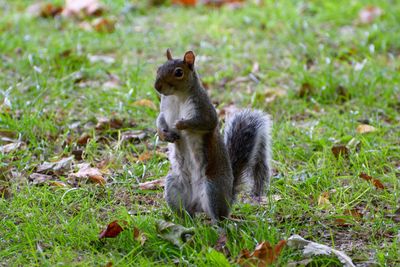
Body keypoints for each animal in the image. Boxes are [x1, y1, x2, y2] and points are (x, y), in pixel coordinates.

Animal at [153, 49, 272, 223]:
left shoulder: (204, 109)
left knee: (219, 216)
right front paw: (164, 134)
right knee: (186, 211)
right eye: (159, 68)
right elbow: (160, 120)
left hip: (212, 188)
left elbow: (205, 122)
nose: (157, 87)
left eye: (179, 73)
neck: (177, 96)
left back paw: (216, 224)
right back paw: (183, 220)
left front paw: (181, 124)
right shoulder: (164, 110)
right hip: (173, 184)